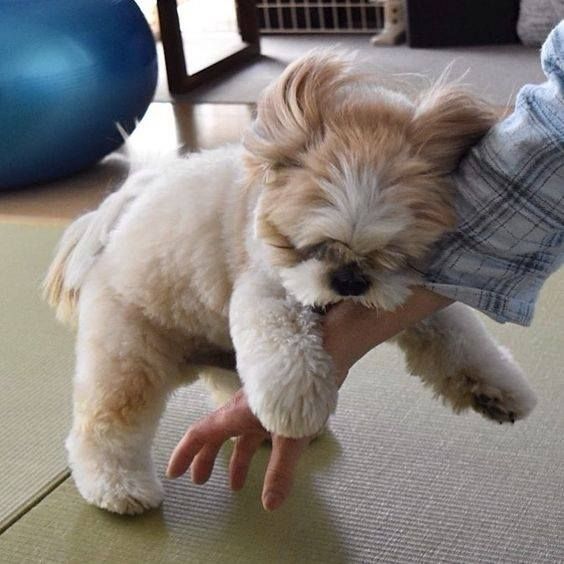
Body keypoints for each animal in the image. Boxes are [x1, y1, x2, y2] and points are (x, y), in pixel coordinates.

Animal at [44, 53, 536, 516]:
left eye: (393, 253)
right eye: (313, 246)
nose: (349, 279)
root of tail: (110, 227)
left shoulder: (405, 298)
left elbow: (459, 339)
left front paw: (498, 390)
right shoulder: (268, 286)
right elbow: (286, 342)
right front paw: (298, 405)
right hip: (130, 351)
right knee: (106, 424)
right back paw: (118, 489)